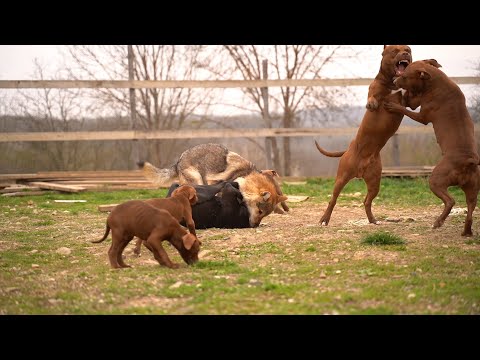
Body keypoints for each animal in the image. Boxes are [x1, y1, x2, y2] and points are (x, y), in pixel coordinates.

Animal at [316, 45, 412, 225]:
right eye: (395, 51)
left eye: (408, 49)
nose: (405, 54)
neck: (393, 81)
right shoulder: (375, 90)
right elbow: (374, 96)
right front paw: (372, 104)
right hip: (341, 178)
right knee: (333, 199)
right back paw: (325, 219)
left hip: (375, 182)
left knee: (367, 201)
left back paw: (373, 219)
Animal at [382, 59, 480, 236]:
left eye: (405, 76)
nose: (394, 81)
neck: (435, 83)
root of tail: (468, 162)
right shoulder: (417, 103)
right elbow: (410, 101)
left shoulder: (422, 116)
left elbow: (405, 109)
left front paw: (392, 105)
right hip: (472, 189)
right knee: (470, 209)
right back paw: (466, 231)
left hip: (436, 180)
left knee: (450, 201)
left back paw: (438, 222)